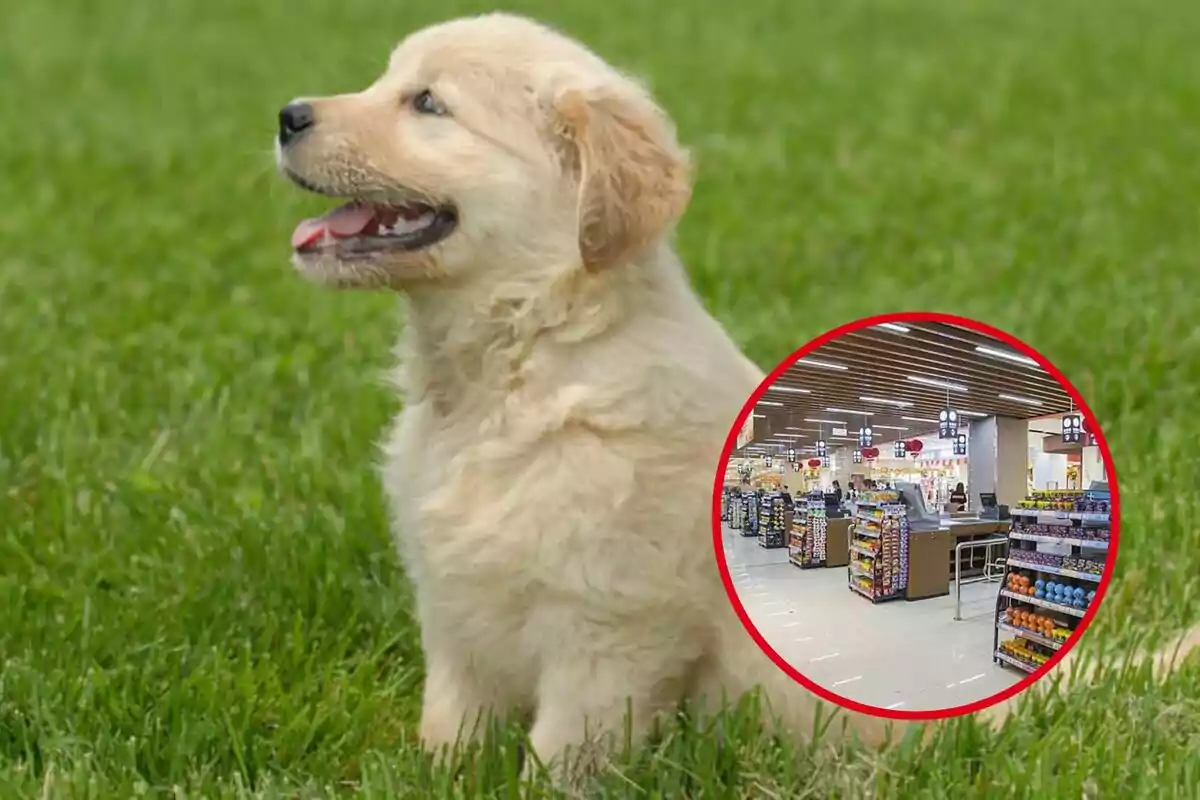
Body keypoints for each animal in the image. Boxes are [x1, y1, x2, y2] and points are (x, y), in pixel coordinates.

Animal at [276, 10, 1195, 777]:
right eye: (390, 79)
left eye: (428, 103)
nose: (286, 114)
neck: (521, 358)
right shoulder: (455, 610)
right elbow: (450, 725)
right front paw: (434, 775)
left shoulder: (608, 631)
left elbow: (561, 753)